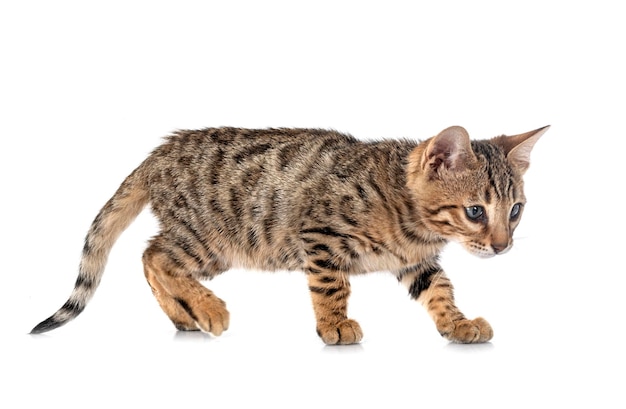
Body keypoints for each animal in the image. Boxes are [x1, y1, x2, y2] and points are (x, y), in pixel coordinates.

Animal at [31, 126, 544, 342]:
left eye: (516, 211)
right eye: (475, 211)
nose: (503, 246)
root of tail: (159, 152)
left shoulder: (415, 263)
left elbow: (439, 290)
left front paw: (457, 322)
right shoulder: (318, 234)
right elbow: (332, 286)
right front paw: (335, 324)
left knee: (151, 257)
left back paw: (184, 315)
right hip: (211, 239)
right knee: (155, 257)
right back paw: (207, 309)